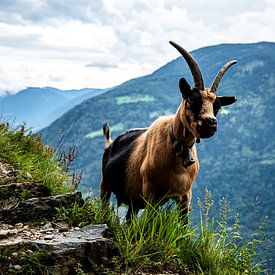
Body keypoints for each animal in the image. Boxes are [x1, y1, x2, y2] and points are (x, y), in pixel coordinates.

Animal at [100, 41, 238, 222]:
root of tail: (110, 143)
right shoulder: (151, 193)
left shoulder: (185, 196)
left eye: (217, 106)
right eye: (191, 98)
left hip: (133, 201)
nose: (211, 123)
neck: (175, 146)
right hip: (105, 186)